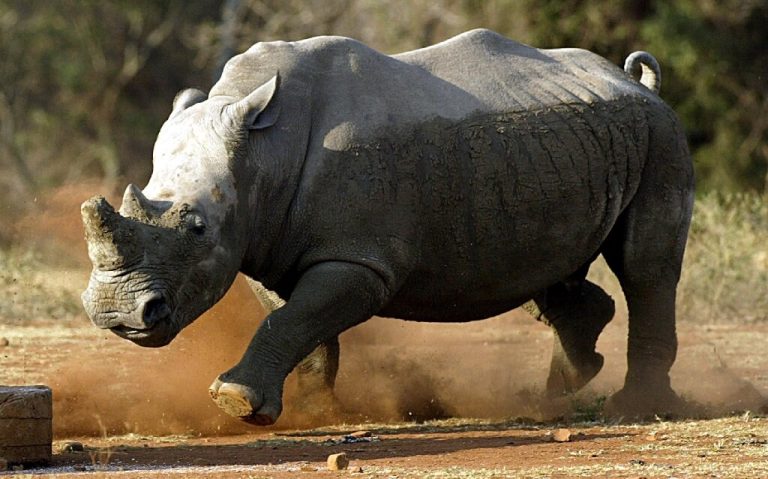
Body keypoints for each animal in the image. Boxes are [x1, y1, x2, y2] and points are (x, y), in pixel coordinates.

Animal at [81, 30, 692, 426]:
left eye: (196, 229)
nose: (117, 314)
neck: (263, 151)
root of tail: (638, 83)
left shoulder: (359, 259)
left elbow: (293, 319)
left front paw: (235, 401)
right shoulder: (266, 243)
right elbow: (300, 325)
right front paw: (311, 413)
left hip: (660, 134)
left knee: (645, 267)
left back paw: (639, 408)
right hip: (558, 150)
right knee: (546, 268)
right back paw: (557, 391)